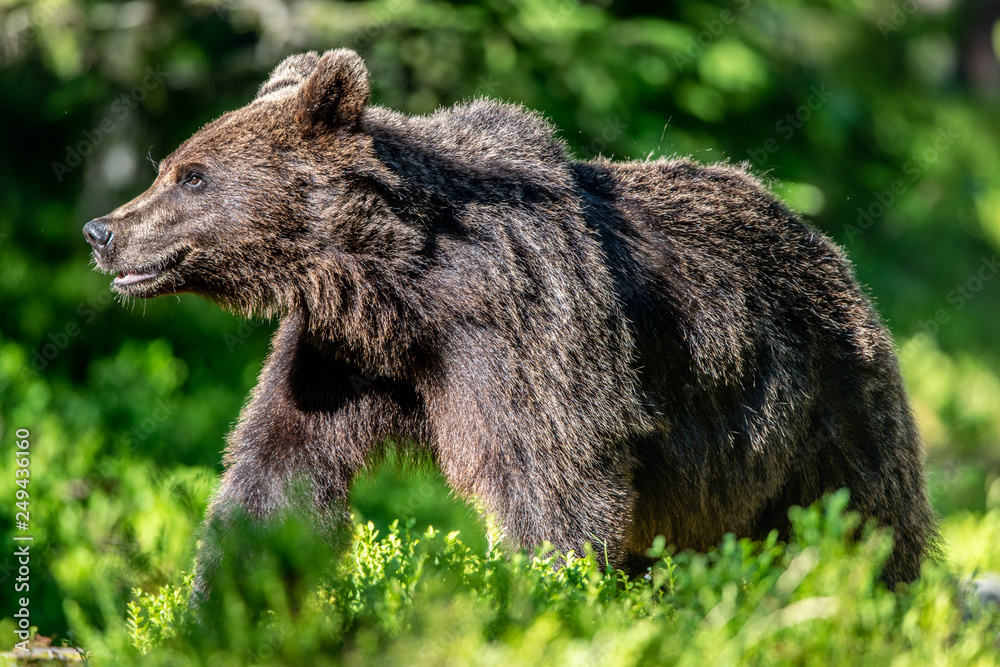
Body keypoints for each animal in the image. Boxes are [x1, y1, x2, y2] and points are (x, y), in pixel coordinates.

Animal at [83, 48, 936, 604]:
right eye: (170, 166)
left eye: (192, 175)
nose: (102, 230)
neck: (401, 288)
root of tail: (819, 237)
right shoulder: (337, 355)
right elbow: (277, 471)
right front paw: (218, 602)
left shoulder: (525, 334)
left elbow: (554, 479)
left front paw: (541, 592)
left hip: (822, 400)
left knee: (868, 517)